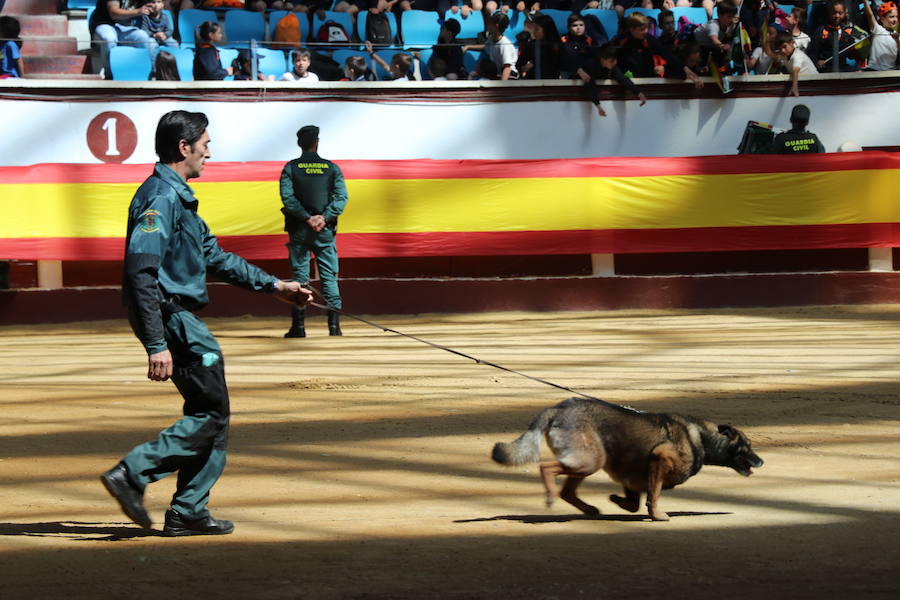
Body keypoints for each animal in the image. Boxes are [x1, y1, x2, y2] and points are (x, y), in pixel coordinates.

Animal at [496, 398, 764, 520]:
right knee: (547, 468)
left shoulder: (632, 478)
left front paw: (617, 500)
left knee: (568, 491)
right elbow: (654, 494)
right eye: (747, 446)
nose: (761, 462)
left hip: (587, 462)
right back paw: (551, 495)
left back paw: (589, 509)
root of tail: (558, 408)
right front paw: (657, 515)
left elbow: (635, 502)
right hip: (589, 461)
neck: (702, 437)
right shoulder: (660, 459)